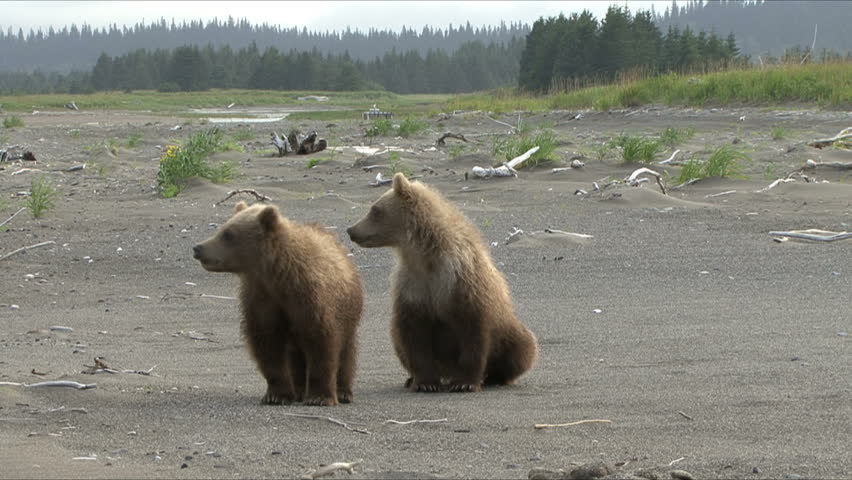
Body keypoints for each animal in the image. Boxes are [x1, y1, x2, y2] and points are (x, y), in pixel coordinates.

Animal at [193, 201, 363, 406]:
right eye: (223, 228)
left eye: (228, 234)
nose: (198, 248)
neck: (277, 276)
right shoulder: (262, 298)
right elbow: (268, 344)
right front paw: (276, 395)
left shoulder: (310, 299)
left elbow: (322, 344)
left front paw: (319, 397)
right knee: (296, 355)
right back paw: (299, 390)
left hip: (348, 312)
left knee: (346, 352)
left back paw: (344, 391)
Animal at [346, 173, 538, 393]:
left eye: (375, 209)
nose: (351, 230)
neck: (426, 258)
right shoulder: (413, 286)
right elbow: (414, 335)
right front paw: (425, 382)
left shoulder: (462, 283)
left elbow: (474, 333)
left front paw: (465, 383)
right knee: (398, 341)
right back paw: (411, 379)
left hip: (510, 330)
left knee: (523, 347)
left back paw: (494, 377)